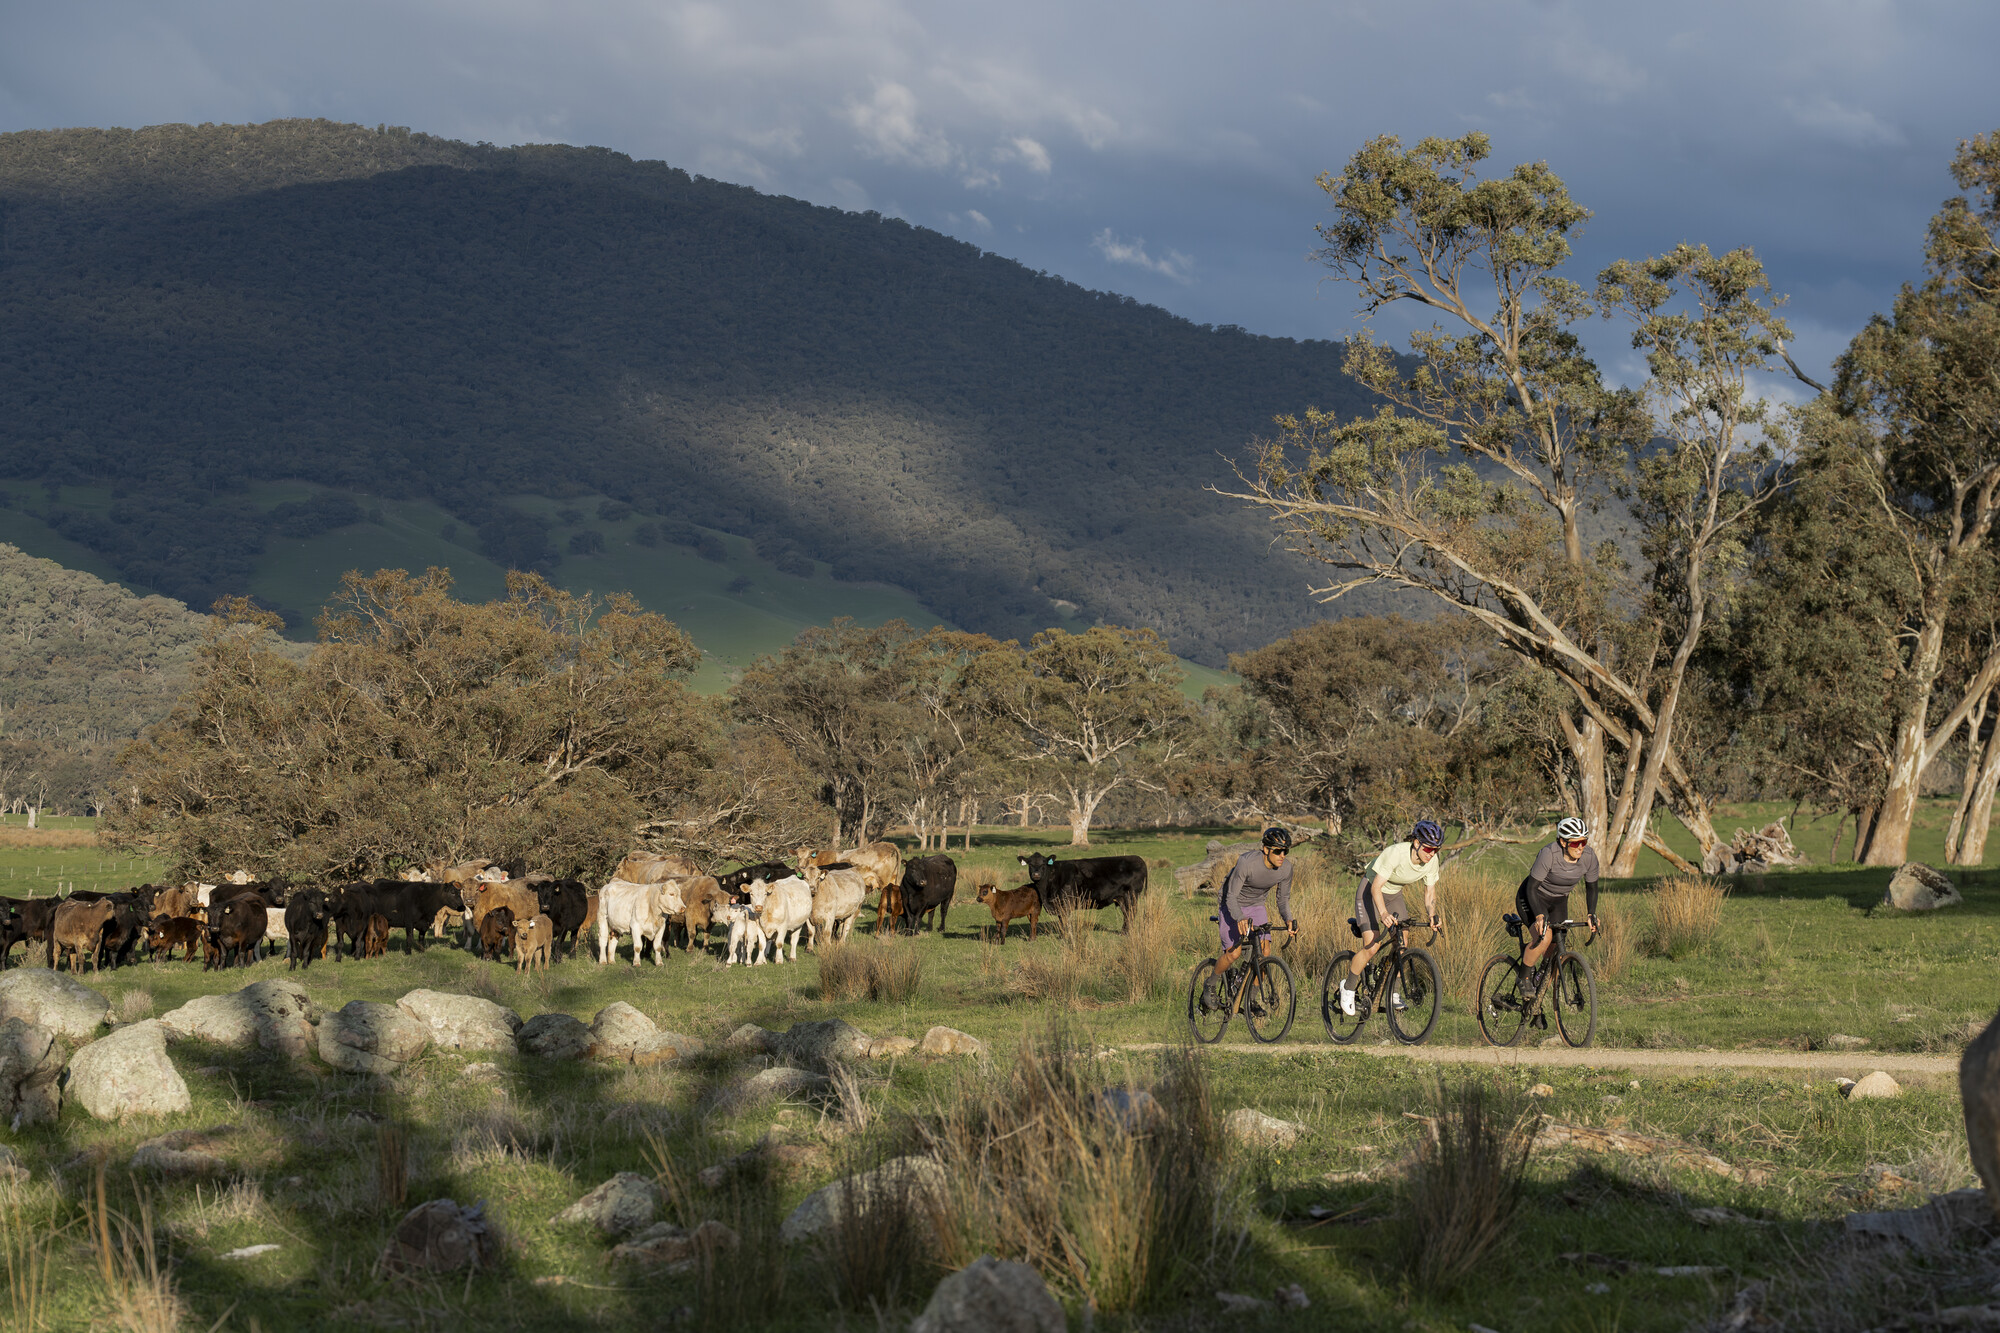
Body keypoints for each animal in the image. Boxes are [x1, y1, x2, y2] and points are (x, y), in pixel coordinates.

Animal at [1024, 844, 1152, 928]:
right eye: (1030, 864)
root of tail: (1138, 859)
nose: (1036, 874)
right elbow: (1061, 920)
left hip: (1131, 895)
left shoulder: (1066, 902)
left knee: (1131, 913)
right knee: (1127, 913)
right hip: (1122, 898)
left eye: (1043, 864)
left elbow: (1064, 920)